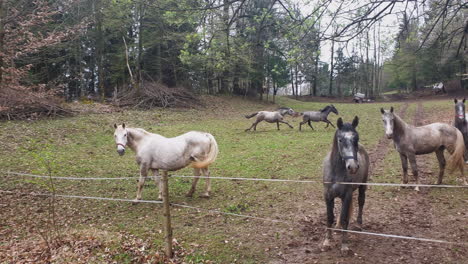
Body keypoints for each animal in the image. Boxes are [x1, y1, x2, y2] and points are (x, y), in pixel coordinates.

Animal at [322, 116, 370, 256]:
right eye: (340, 139)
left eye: (356, 139)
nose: (353, 167)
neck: (336, 171)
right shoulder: (328, 195)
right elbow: (329, 217)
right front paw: (327, 241)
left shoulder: (347, 195)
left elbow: (345, 218)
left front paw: (344, 245)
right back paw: (337, 227)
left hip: (362, 186)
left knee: (361, 201)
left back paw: (358, 224)